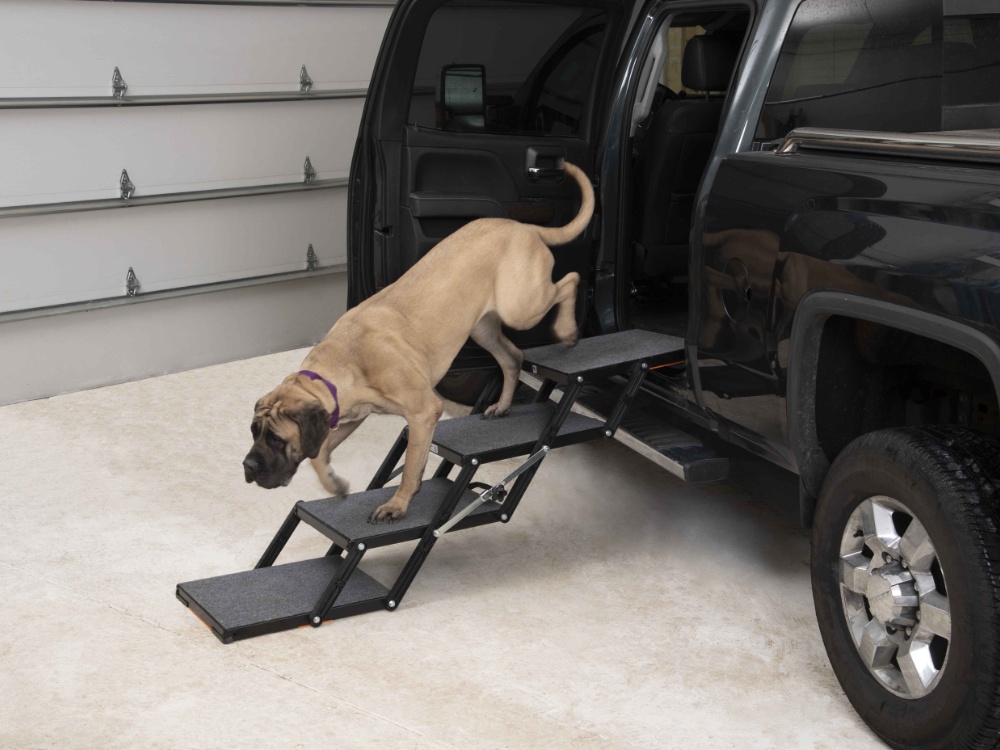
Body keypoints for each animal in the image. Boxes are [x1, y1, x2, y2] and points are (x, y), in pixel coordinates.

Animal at [243, 160, 592, 524]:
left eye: (276, 439)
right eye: (254, 432)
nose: (248, 466)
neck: (346, 361)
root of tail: (522, 226)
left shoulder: (423, 412)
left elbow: (410, 467)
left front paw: (396, 505)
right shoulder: (345, 418)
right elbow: (317, 453)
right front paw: (334, 484)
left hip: (521, 306)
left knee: (570, 280)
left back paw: (568, 330)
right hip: (483, 327)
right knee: (513, 356)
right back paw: (503, 405)